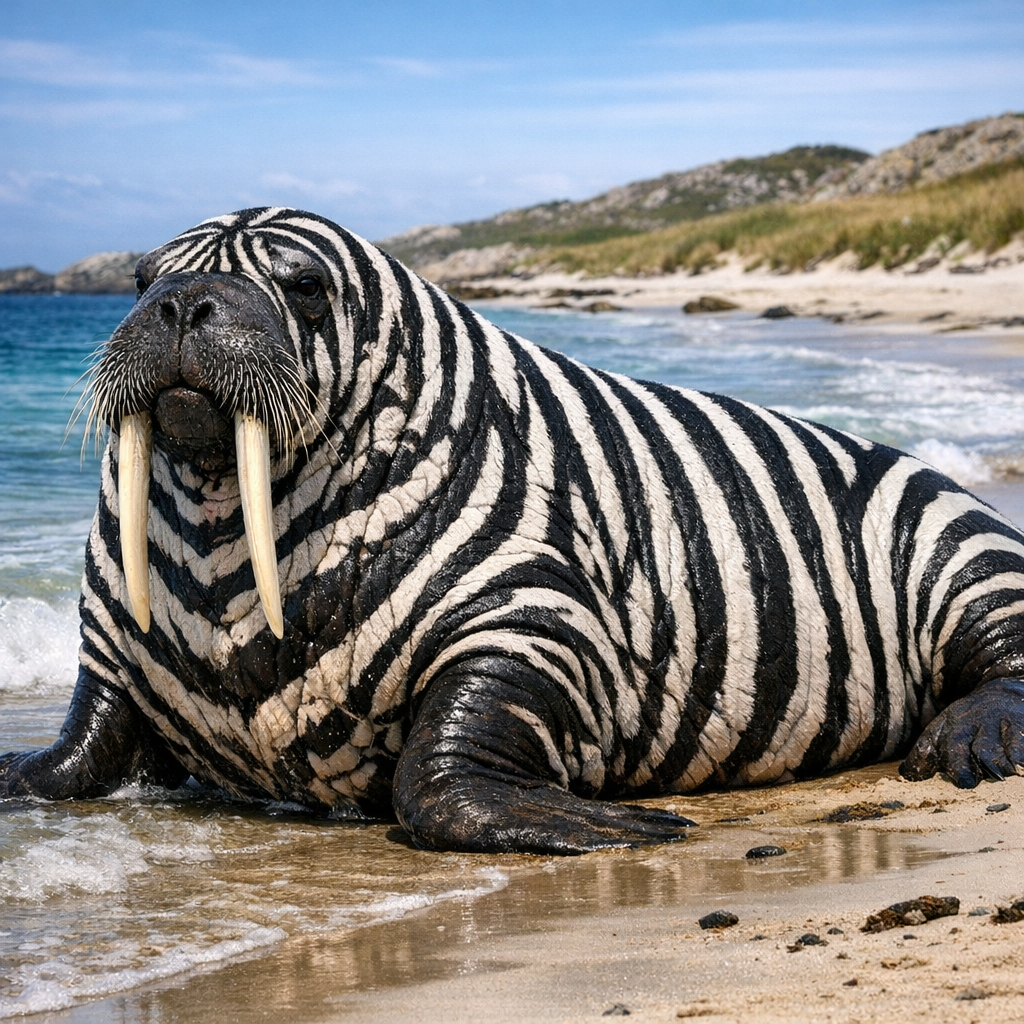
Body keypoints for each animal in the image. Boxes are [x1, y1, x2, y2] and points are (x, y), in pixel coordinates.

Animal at [2, 207, 1023, 854]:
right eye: (140, 279)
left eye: (304, 286)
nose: (178, 304)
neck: (228, 564)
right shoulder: (111, 644)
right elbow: (82, 740)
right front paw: (20, 770)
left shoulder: (538, 610)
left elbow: (443, 768)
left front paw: (614, 824)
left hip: (954, 544)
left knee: (1003, 649)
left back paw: (971, 746)